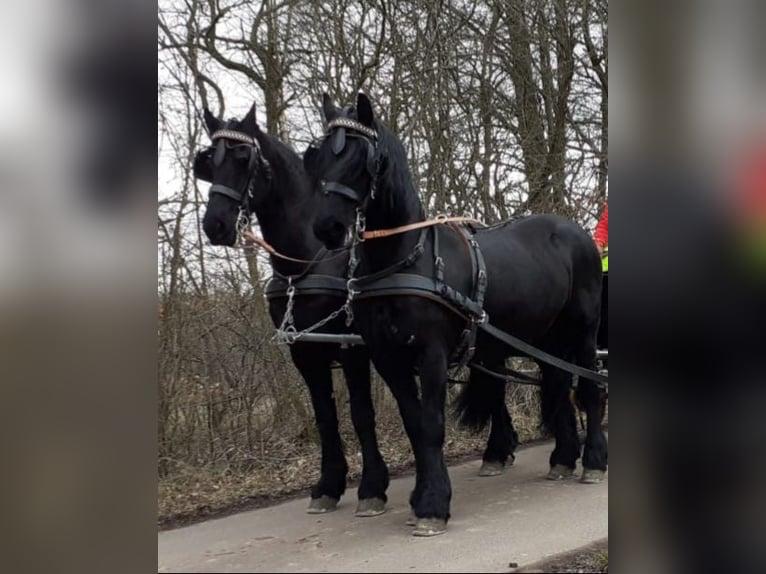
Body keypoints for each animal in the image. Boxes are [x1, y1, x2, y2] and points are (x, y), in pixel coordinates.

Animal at [196, 103, 390, 516]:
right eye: (208, 161)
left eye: (243, 157)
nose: (215, 225)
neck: (307, 261)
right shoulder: (303, 351)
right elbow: (324, 417)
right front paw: (328, 485)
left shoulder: (350, 346)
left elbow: (360, 413)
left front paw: (372, 487)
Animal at [308, 92, 612, 536]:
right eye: (317, 154)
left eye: (364, 157)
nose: (327, 227)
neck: (403, 259)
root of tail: (578, 234)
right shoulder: (387, 357)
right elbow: (415, 426)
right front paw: (421, 497)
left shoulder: (432, 353)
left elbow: (433, 425)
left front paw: (434, 504)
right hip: (545, 338)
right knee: (558, 383)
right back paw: (562, 459)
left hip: (584, 331)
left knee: (590, 387)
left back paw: (593, 462)